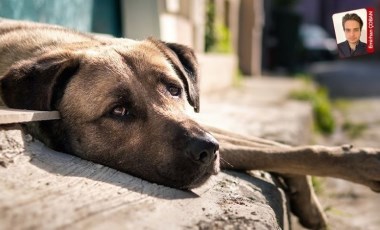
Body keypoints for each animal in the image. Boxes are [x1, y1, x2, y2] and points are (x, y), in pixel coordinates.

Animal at [0, 18, 380, 229]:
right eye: (119, 111)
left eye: (174, 89)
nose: (207, 150)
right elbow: (276, 150)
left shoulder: (203, 123)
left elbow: (280, 148)